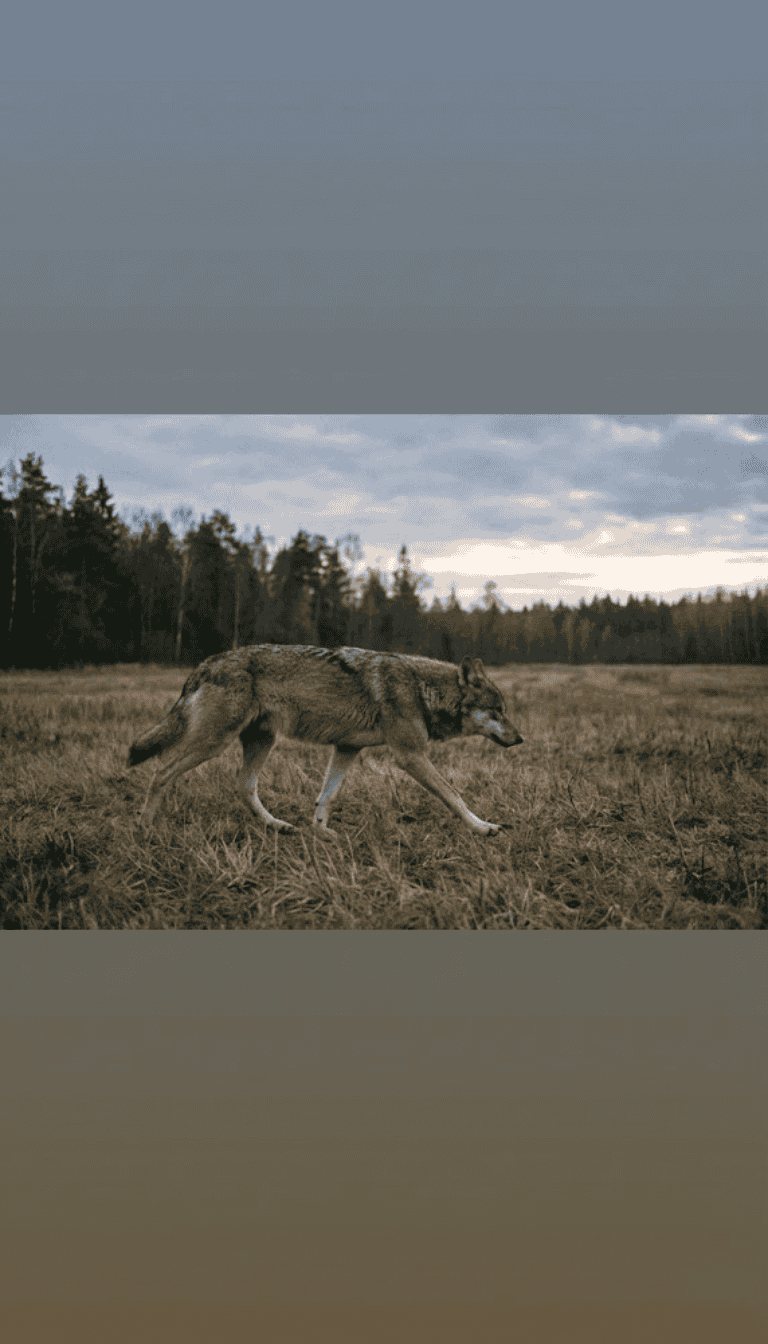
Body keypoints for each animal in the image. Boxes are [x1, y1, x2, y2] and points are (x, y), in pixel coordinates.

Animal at [127, 644, 524, 836]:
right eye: (497, 711)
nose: (520, 738)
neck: (421, 689)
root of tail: (206, 663)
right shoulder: (409, 755)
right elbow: (454, 795)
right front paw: (483, 827)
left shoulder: (347, 748)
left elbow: (326, 796)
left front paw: (321, 834)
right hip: (214, 742)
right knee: (161, 772)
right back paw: (144, 829)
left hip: (261, 743)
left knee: (243, 787)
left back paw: (277, 826)